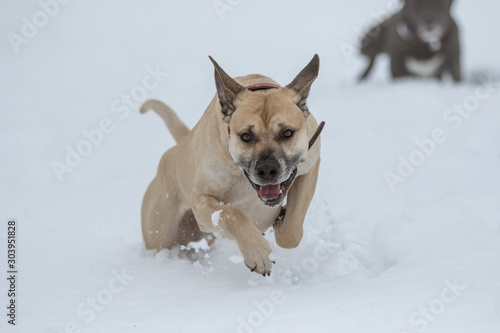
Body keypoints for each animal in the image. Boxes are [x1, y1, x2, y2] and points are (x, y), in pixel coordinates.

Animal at [139, 54, 322, 274]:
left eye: (287, 133)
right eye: (246, 136)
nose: (267, 169)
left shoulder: (311, 167)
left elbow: (292, 230)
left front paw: (282, 225)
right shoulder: (201, 203)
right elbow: (232, 213)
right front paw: (257, 253)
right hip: (161, 232)